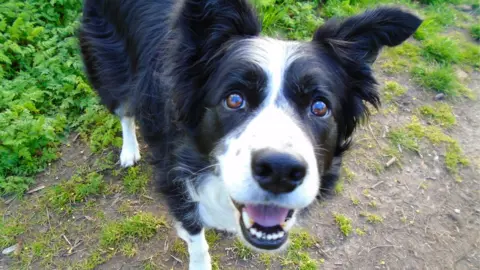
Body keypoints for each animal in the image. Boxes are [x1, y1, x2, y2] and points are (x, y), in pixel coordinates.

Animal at [79, 0, 420, 268]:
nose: (280, 171)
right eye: (234, 99)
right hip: (109, 65)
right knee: (123, 109)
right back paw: (129, 150)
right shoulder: (174, 180)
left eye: (320, 107)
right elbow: (196, 238)